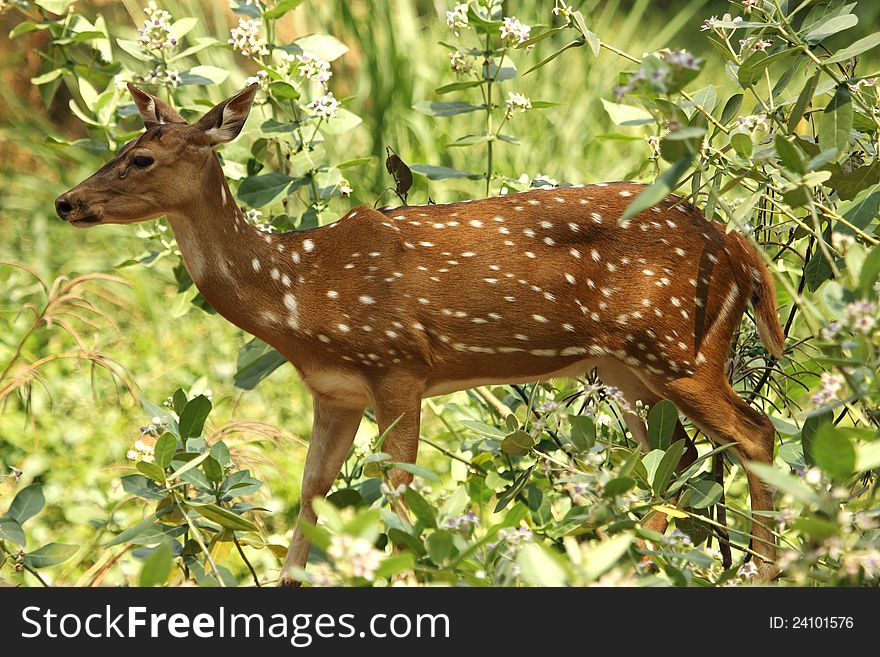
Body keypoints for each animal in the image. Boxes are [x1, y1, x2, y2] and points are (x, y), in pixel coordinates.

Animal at [55, 84, 784, 580]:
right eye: (120, 148)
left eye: (142, 158)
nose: (66, 201)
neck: (298, 294)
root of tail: (731, 240)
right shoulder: (335, 390)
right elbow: (310, 497)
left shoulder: (399, 364)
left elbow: (398, 498)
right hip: (625, 367)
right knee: (678, 460)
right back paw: (638, 564)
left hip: (674, 345)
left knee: (755, 433)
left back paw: (758, 568)